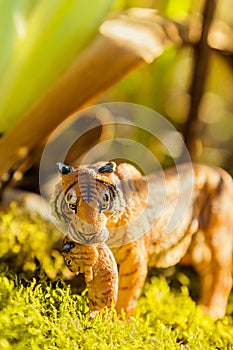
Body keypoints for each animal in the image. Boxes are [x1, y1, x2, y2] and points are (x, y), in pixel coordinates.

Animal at [51, 160, 233, 318]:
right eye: (72, 205)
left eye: (103, 203)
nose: (89, 234)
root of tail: (221, 172)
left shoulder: (135, 259)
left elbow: (127, 294)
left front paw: (118, 322)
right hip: (196, 249)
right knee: (208, 272)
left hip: (218, 239)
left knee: (223, 276)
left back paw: (210, 311)